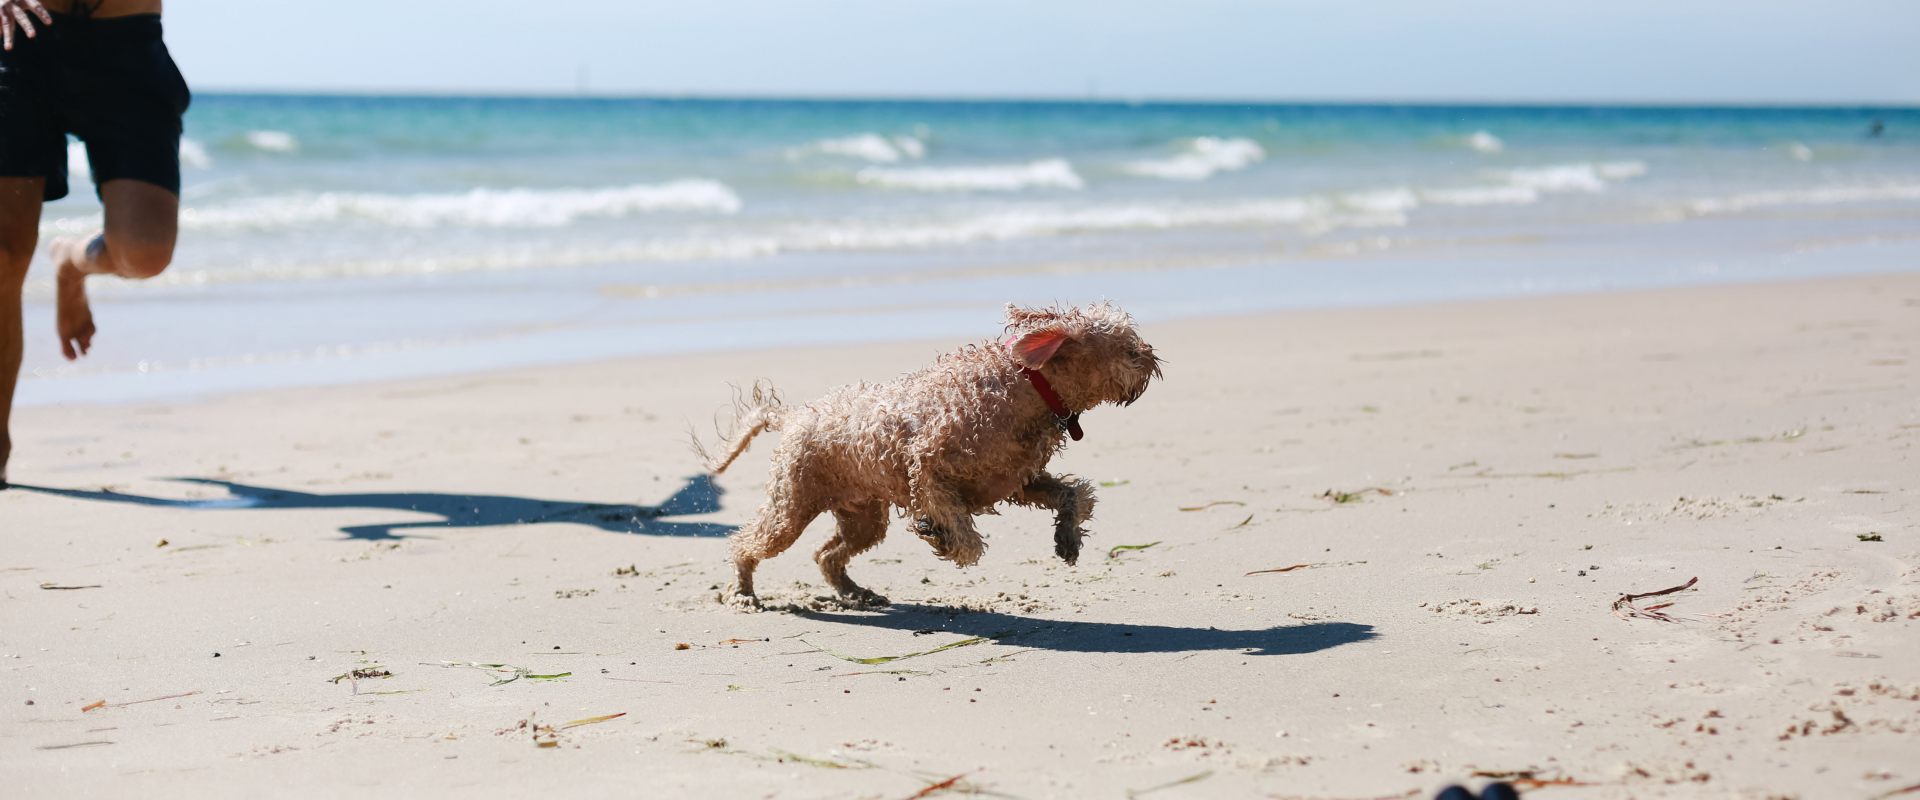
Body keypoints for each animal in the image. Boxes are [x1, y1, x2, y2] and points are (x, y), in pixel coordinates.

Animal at [702, 299, 1152, 606]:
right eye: (1129, 350)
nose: (1153, 358)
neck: (1024, 384)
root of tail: (795, 415)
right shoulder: (927, 467)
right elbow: (963, 535)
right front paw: (941, 535)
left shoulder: (1018, 481)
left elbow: (1076, 495)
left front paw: (1067, 537)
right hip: (790, 508)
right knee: (746, 545)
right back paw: (743, 593)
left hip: (862, 517)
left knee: (826, 554)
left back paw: (854, 592)